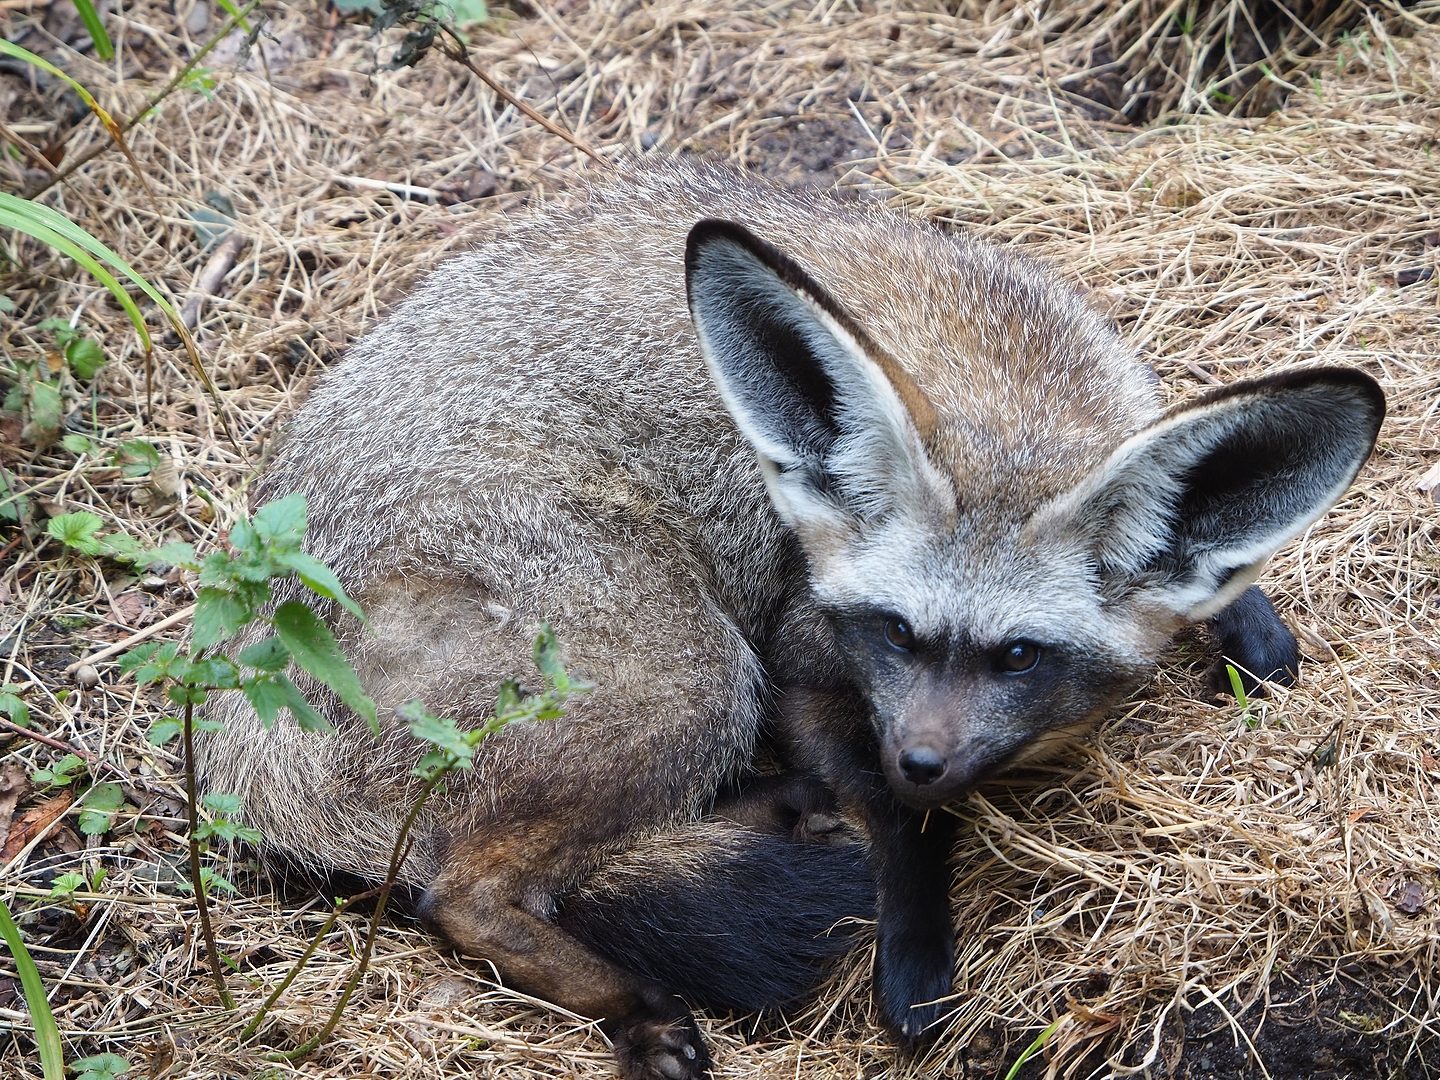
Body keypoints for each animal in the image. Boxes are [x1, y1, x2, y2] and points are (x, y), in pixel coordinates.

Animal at [198, 160, 1384, 1080]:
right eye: (897, 633)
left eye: (1020, 656)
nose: (921, 756)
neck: (1007, 388)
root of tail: (242, 686)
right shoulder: (804, 654)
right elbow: (899, 823)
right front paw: (916, 952)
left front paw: (1247, 628)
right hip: (696, 673)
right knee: (466, 890)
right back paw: (644, 1005)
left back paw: (773, 812)